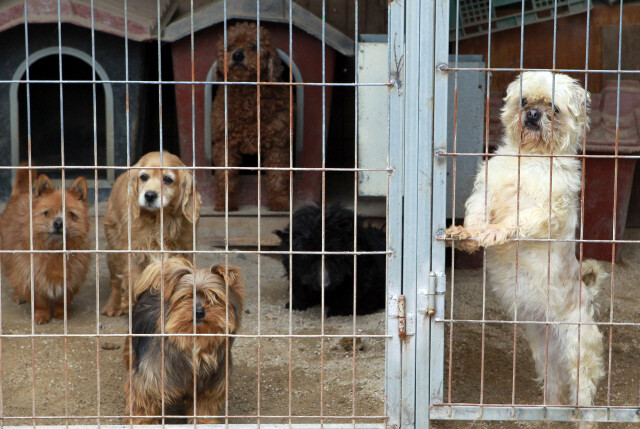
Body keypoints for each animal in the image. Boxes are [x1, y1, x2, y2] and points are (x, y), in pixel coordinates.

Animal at [0, 169, 90, 322]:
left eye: (71, 214)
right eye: (46, 212)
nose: (58, 223)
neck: (55, 249)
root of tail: (20, 194)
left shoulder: (71, 278)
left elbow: (62, 300)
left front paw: (61, 313)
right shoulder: (31, 275)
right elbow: (40, 300)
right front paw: (42, 315)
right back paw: (18, 295)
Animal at [101, 152, 201, 316]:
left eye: (167, 179)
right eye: (143, 177)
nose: (149, 195)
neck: (159, 219)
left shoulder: (186, 249)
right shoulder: (133, 251)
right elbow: (133, 280)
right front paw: (131, 306)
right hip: (113, 247)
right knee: (114, 280)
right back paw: (113, 306)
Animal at [124, 256, 244, 422]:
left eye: (214, 297)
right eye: (186, 297)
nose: (199, 312)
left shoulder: (210, 389)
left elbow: (204, 410)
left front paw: (205, 423)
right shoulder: (149, 382)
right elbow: (142, 408)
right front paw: (142, 423)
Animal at [211, 20, 294, 211]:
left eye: (253, 45)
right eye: (229, 46)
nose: (237, 55)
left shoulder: (278, 144)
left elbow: (278, 177)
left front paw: (280, 202)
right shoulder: (224, 143)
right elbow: (226, 177)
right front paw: (225, 204)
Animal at [448, 70, 608, 424]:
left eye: (554, 108)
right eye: (524, 101)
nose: (533, 114)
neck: (531, 158)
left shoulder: (545, 211)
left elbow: (516, 221)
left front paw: (493, 232)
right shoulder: (485, 191)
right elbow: (476, 212)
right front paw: (466, 234)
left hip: (579, 347)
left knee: (584, 392)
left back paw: (583, 418)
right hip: (545, 353)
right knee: (554, 389)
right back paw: (546, 414)